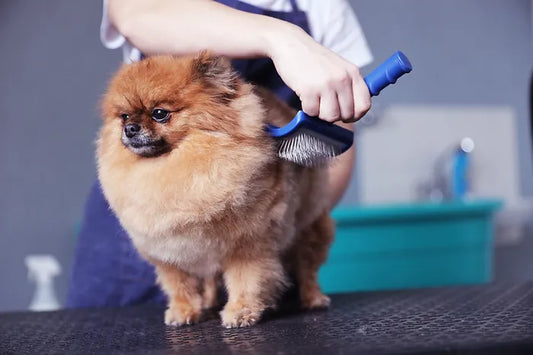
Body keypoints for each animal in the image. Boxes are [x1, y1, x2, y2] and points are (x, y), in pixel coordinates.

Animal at [96, 52, 332, 328]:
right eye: (124, 116)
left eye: (159, 114)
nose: (130, 129)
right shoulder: (169, 252)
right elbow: (180, 285)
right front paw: (183, 310)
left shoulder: (248, 244)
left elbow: (246, 281)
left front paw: (241, 311)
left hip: (308, 227)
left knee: (307, 268)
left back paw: (313, 299)